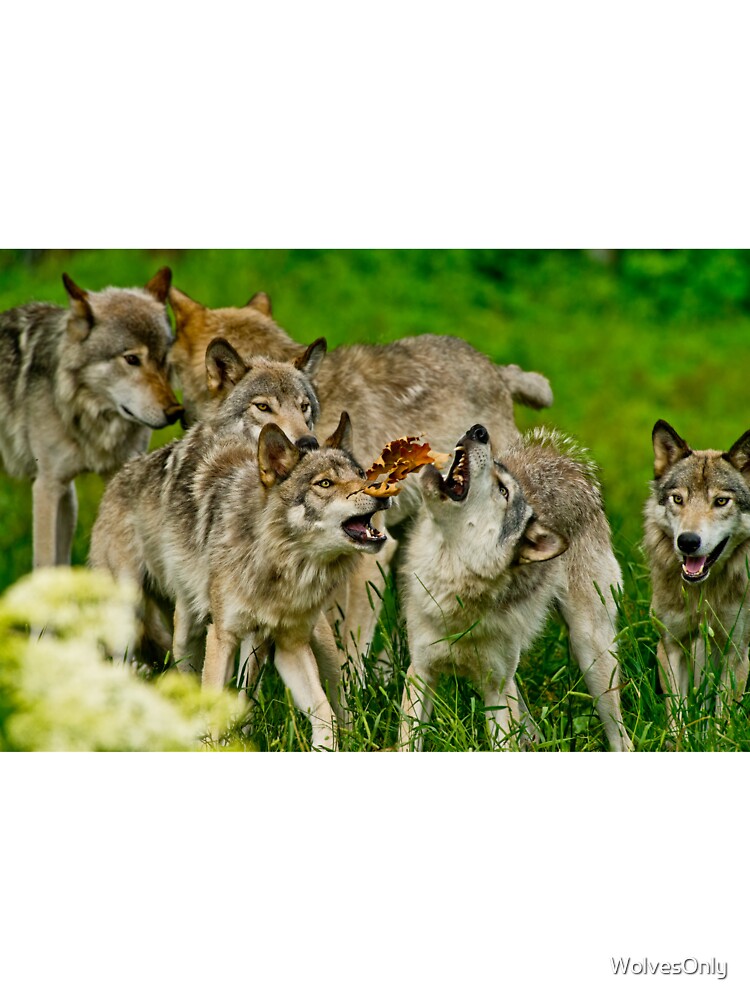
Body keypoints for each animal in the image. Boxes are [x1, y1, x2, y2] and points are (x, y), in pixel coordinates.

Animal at [0, 268, 182, 568]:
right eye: (132, 359)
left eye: (164, 360)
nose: (175, 412)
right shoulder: (48, 485)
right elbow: (46, 564)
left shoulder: (107, 479)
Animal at [90, 410, 388, 749]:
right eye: (324, 483)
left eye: (361, 474)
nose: (382, 489)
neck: (280, 566)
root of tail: (118, 478)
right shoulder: (223, 635)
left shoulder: (289, 645)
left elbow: (324, 713)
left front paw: (325, 747)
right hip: (156, 629)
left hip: (318, 646)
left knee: (334, 701)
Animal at [167, 285, 554, 653]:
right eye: (263, 407)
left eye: (304, 407)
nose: (307, 443)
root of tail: (497, 370)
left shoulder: (371, 555)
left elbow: (348, 644)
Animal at [399, 424, 632, 751]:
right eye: (498, 473)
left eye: (504, 491)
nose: (479, 431)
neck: (454, 584)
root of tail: (564, 463)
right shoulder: (420, 672)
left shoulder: (496, 688)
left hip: (591, 654)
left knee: (621, 736)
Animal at [643, 420, 750, 720]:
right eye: (678, 499)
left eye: (721, 501)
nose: (688, 542)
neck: (704, 592)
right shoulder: (671, 644)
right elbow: (677, 715)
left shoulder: (736, 651)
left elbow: (722, 718)